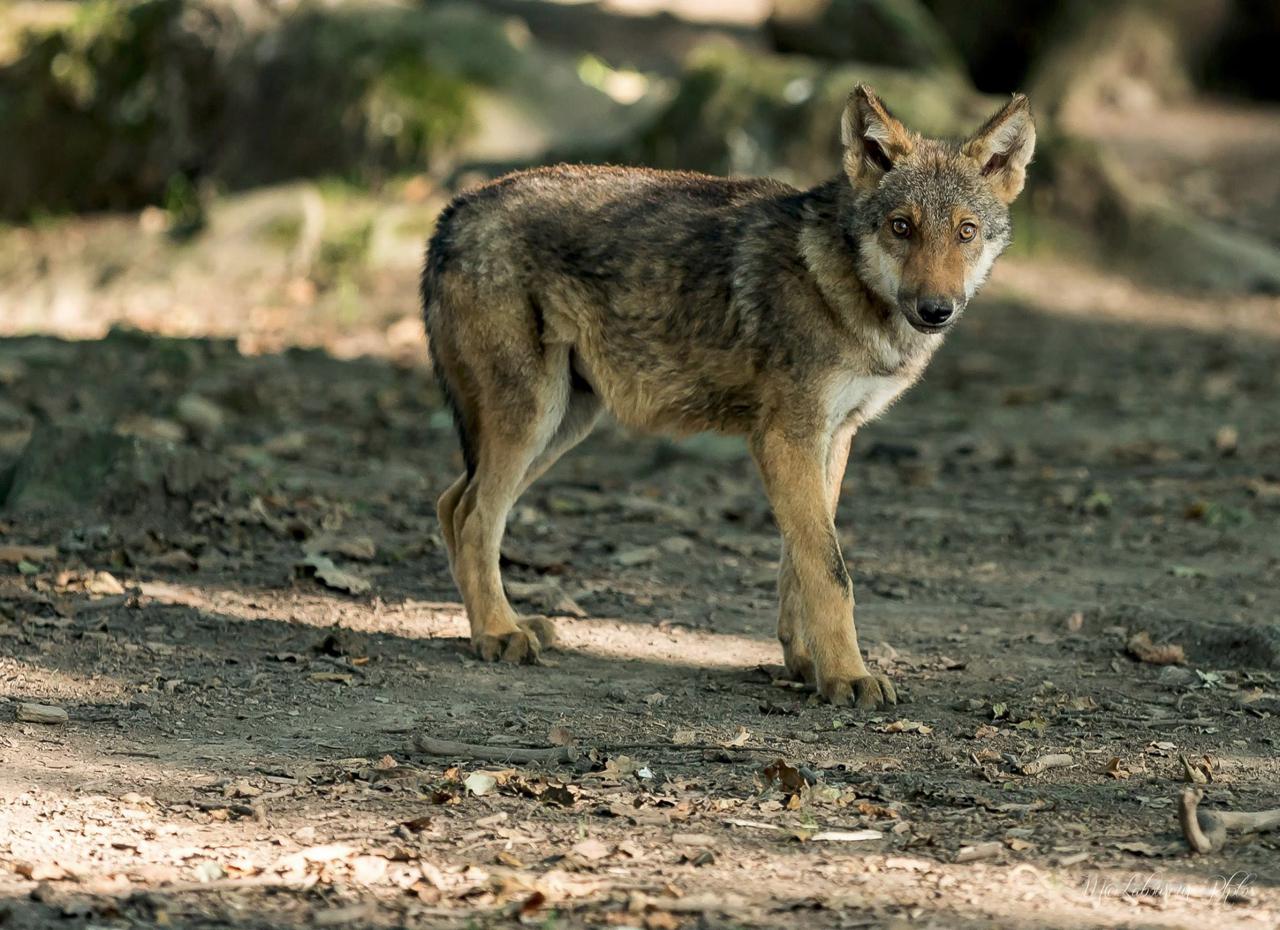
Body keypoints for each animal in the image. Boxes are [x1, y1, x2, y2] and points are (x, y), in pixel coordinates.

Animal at [424, 86, 1034, 711]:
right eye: (901, 226)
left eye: (965, 232)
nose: (936, 309)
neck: (836, 284)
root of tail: (456, 209)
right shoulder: (786, 438)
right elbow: (830, 570)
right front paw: (848, 676)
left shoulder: (832, 438)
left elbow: (800, 561)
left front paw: (808, 664)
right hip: (535, 419)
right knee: (474, 517)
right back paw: (499, 633)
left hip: (564, 425)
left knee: (451, 503)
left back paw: (497, 626)